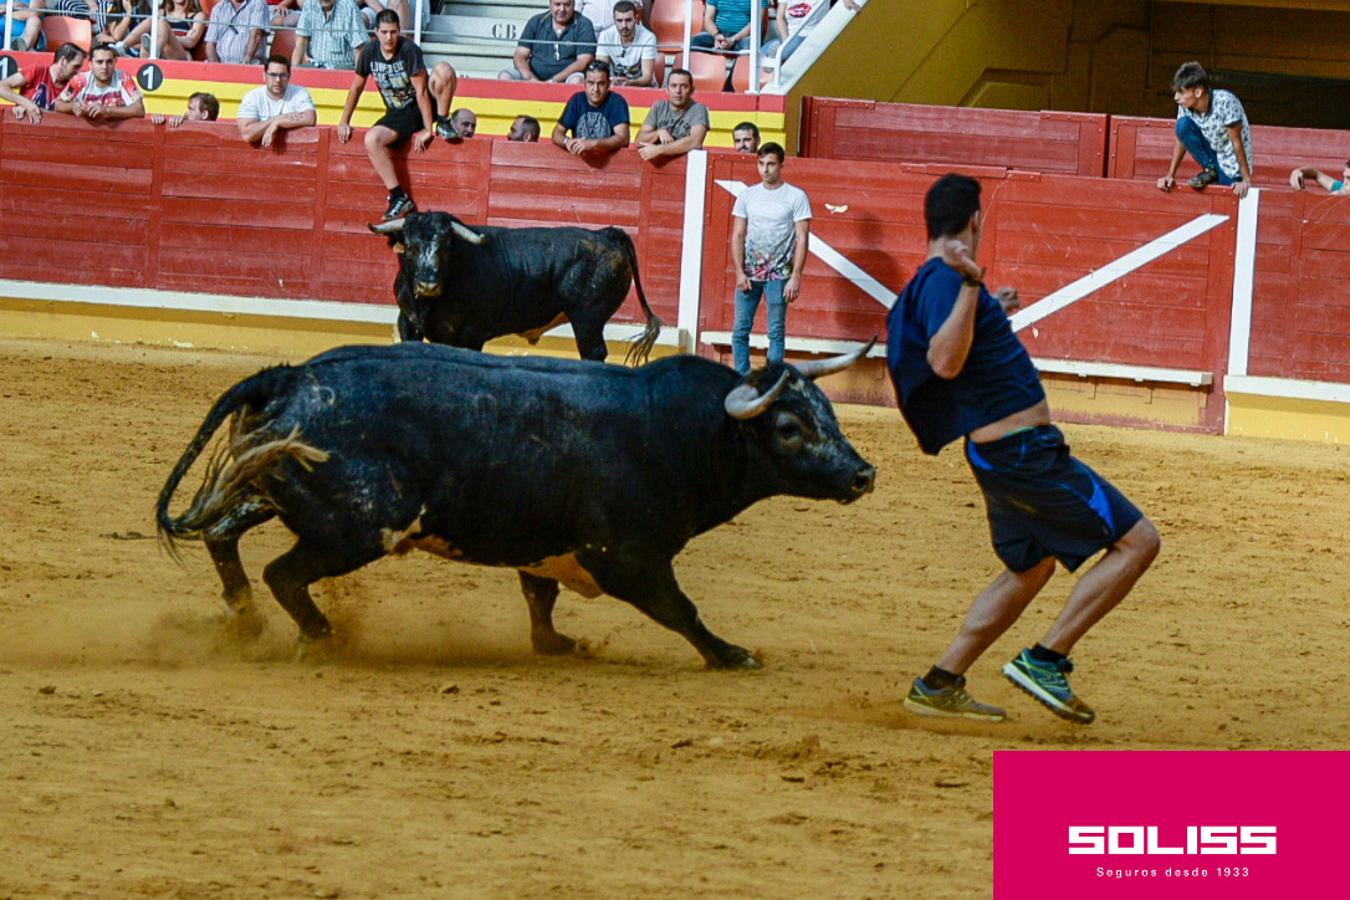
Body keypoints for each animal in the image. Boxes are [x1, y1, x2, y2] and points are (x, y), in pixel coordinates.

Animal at [155, 341, 874, 666]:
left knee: (222, 536)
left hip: (272, 490)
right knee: (283, 573)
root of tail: (290, 376)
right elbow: (682, 610)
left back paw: (245, 622)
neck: (685, 428)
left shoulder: (547, 542)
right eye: (790, 428)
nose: (863, 474)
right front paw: (731, 655)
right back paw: (320, 637)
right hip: (354, 529)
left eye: (828, 413)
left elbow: (540, 596)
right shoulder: (628, 559)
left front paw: (555, 644)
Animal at [369, 211, 664, 367]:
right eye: (410, 246)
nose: (427, 284)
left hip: (588, 320)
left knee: (593, 353)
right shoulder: (408, 321)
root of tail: (606, 234)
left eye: (445, 247)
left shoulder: (472, 332)